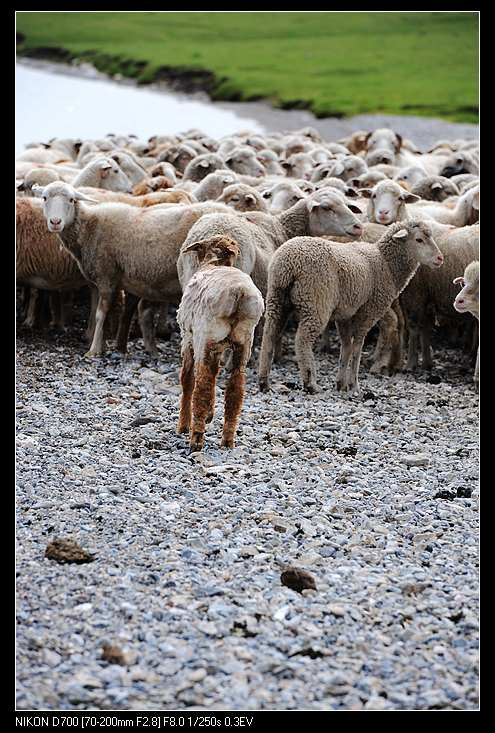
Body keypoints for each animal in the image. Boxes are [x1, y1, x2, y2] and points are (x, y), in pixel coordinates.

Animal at [35, 182, 232, 356]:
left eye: (71, 199)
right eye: (44, 198)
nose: (55, 222)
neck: (90, 226)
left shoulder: (107, 274)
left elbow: (100, 313)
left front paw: (94, 350)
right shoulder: (103, 279)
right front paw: (101, 345)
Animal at [176, 236, 266, 452]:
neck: (213, 263)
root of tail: (239, 292)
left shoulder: (188, 338)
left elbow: (187, 379)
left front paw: (183, 425)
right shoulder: (219, 348)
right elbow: (216, 375)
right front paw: (210, 414)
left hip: (206, 335)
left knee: (201, 385)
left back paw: (196, 438)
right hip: (244, 341)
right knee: (235, 389)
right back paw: (227, 439)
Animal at [258, 219, 444, 394]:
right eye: (419, 239)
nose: (440, 258)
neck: (387, 265)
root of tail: (288, 263)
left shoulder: (345, 314)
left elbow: (346, 346)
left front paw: (341, 383)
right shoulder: (369, 312)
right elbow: (357, 347)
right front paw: (354, 384)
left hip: (276, 298)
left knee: (269, 334)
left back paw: (264, 381)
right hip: (316, 301)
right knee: (302, 340)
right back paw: (310, 383)